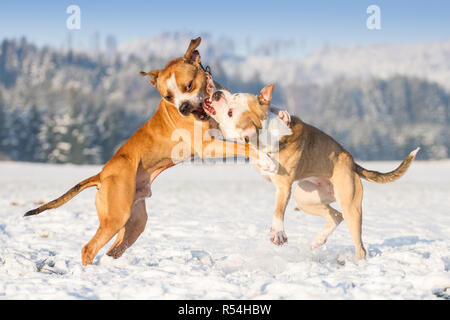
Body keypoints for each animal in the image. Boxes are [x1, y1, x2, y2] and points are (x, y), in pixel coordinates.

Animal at [24, 38, 274, 264]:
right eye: (168, 97)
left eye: (188, 86)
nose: (183, 108)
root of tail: (102, 174)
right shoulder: (207, 146)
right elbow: (242, 146)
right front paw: (266, 160)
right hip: (116, 216)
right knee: (89, 248)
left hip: (135, 221)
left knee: (113, 249)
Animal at [207, 83, 418, 260]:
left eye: (232, 106)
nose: (216, 93)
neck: (263, 134)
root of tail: (352, 164)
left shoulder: (283, 187)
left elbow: (278, 211)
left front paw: (277, 232)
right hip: (305, 197)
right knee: (335, 216)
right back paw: (318, 241)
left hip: (351, 206)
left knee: (359, 244)